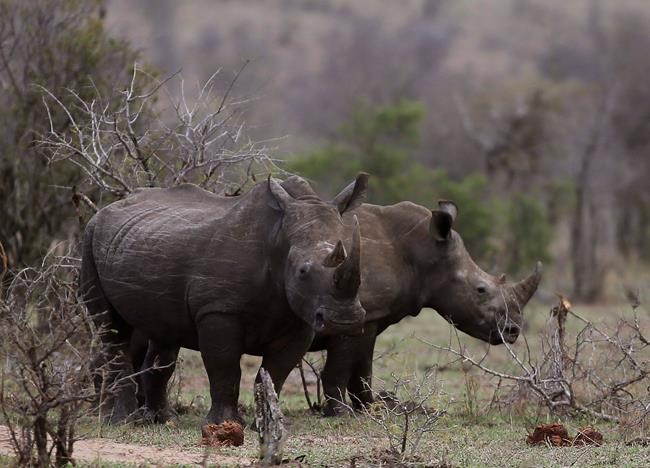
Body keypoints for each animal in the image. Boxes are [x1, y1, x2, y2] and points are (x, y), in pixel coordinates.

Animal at [80, 175, 368, 425]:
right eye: (303, 271)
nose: (344, 321)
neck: (279, 241)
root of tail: (103, 210)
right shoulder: (218, 310)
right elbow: (224, 368)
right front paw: (225, 423)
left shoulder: (300, 320)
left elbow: (276, 372)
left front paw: (267, 422)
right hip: (90, 238)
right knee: (110, 329)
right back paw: (122, 421)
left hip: (146, 243)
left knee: (164, 335)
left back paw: (163, 420)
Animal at [281, 177, 542, 415]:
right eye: (481, 290)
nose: (512, 331)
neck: (424, 252)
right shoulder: (352, 315)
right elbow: (343, 370)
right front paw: (342, 412)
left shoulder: (369, 318)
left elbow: (362, 370)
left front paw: (371, 408)